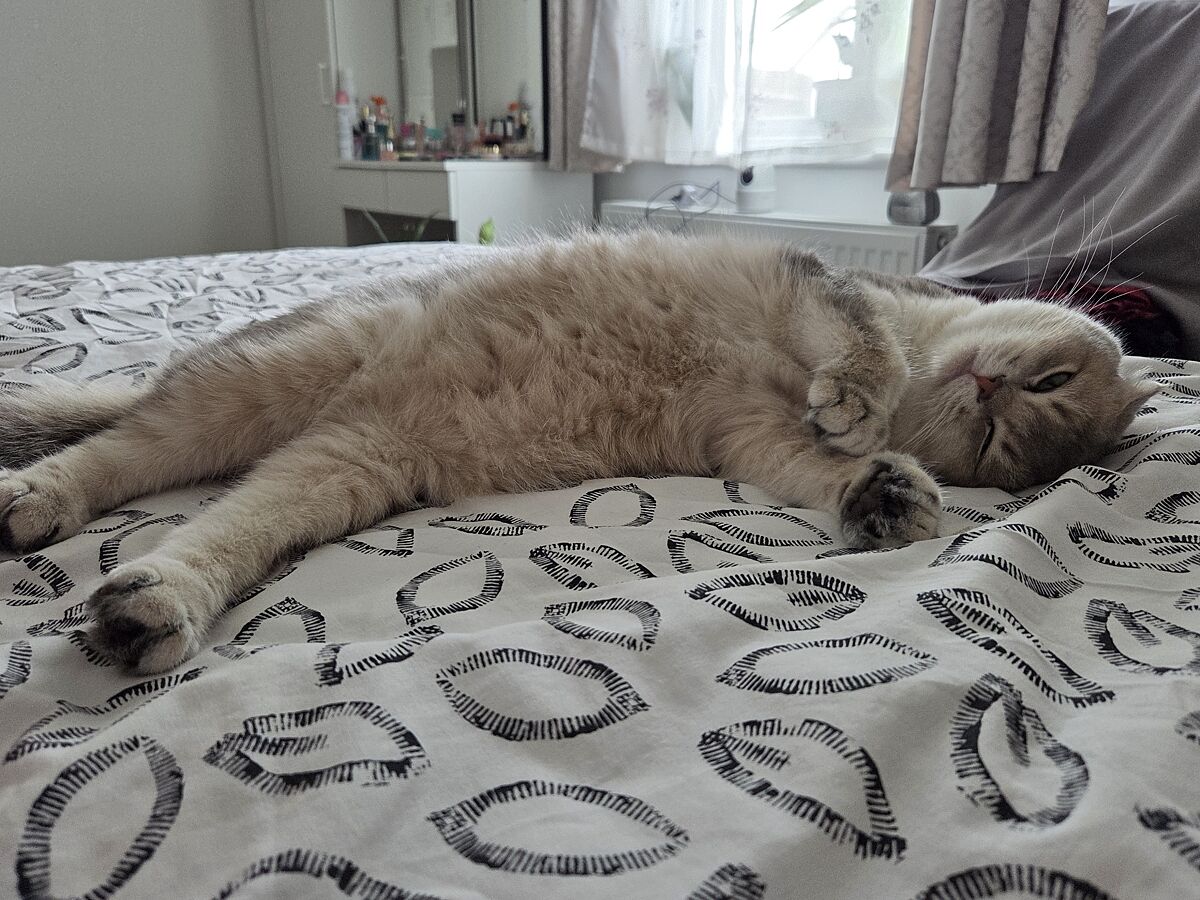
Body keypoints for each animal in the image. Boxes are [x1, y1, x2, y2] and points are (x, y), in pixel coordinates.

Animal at [0, 231, 1155, 673]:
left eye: (1003, 432)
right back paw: (34, 498)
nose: (990, 387)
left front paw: (883, 490)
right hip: (268, 378)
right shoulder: (807, 284)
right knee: (116, 449)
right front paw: (861, 400)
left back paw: (148, 604)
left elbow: (818, 469)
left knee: (210, 527)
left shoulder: (745, 436)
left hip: (341, 468)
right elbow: (860, 336)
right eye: (1047, 384)